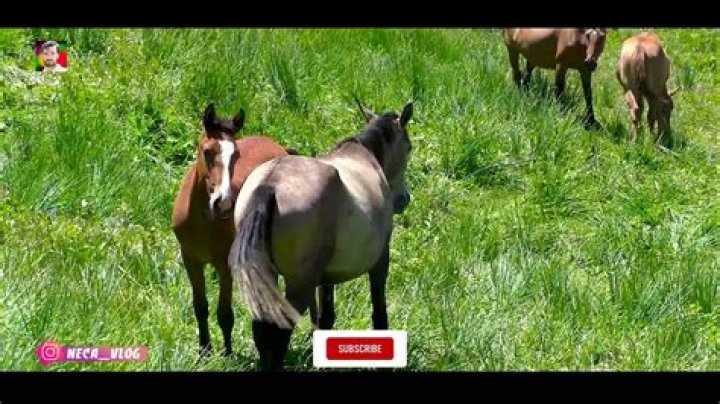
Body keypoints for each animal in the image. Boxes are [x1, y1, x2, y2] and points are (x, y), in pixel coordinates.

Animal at [171, 103, 294, 358]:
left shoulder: (225, 264)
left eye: (236, 155)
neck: (204, 220)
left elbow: (225, 314)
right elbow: (200, 307)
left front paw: (227, 354)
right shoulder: (191, 260)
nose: (224, 203)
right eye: (207, 151)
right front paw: (204, 351)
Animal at [228, 99, 414, 370]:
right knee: (279, 334)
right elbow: (379, 311)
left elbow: (326, 317)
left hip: (269, 277)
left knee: (262, 331)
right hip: (299, 284)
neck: (363, 157)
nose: (403, 199)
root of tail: (269, 185)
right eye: (409, 148)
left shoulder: (327, 276)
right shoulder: (380, 260)